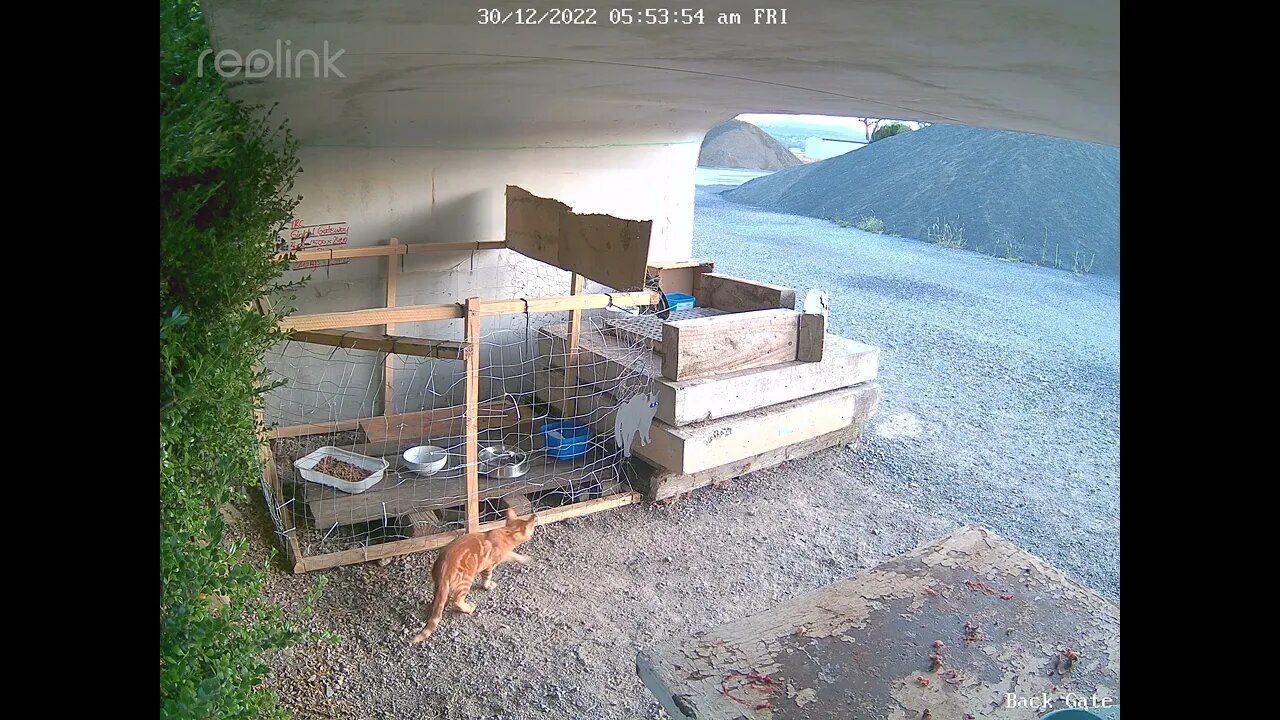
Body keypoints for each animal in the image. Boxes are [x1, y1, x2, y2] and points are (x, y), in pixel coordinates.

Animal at [409, 502, 540, 640]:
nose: (535, 518)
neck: (507, 532)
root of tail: (443, 570)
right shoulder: (489, 565)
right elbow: (487, 577)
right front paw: (488, 585)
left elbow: (513, 555)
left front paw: (523, 558)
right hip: (466, 581)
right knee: (457, 602)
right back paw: (469, 607)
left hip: (439, 585)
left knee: (439, 600)